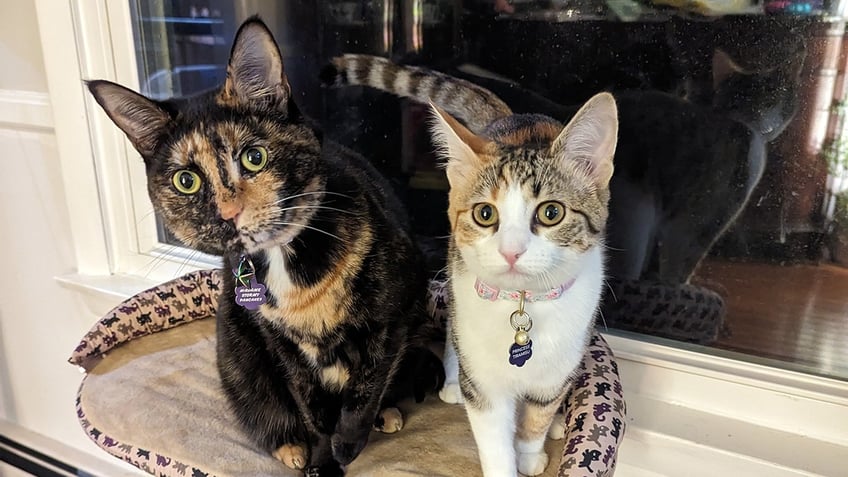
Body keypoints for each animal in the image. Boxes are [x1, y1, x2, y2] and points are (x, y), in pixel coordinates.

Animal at [89, 16, 440, 474]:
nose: (227, 211)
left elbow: (363, 392)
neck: (288, 265)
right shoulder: (281, 345)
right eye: (187, 181)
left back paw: (388, 414)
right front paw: (320, 458)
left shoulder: (390, 320)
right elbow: (311, 409)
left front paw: (347, 446)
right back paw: (289, 448)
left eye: (254, 157)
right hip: (237, 349)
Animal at [324, 56, 616, 476]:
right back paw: (451, 380)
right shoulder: (485, 383)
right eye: (484, 214)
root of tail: (512, 118)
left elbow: (537, 414)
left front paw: (532, 452)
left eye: (552, 212)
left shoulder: (559, 364)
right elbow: (493, 436)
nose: (511, 251)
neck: (523, 307)